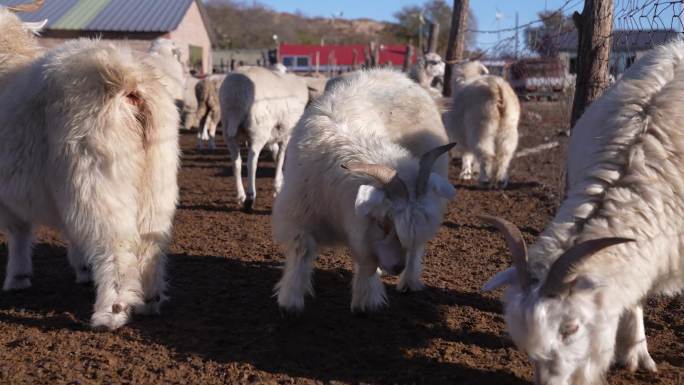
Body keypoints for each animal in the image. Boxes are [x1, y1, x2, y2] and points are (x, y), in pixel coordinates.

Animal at [0, 5, 179, 330]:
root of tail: (128, 77)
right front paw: (83, 269)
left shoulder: (7, 195)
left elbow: (19, 233)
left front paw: (17, 278)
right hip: (156, 180)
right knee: (151, 243)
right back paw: (150, 300)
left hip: (96, 177)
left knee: (114, 244)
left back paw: (112, 312)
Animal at [219, 66, 308, 210]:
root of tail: (237, 94)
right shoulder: (286, 133)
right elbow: (280, 157)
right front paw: (277, 186)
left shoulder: (273, 136)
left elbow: (276, 154)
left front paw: (280, 182)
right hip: (258, 133)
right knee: (252, 162)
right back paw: (250, 197)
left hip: (228, 133)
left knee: (236, 163)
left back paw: (241, 196)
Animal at [272, 67, 454, 310]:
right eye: (382, 223)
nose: (397, 267)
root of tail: (397, 75)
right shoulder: (299, 214)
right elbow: (302, 250)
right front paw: (290, 299)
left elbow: (368, 263)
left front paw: (367, 298)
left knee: (418, 246)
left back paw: (409, 281)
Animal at [440, 59, 520, 189]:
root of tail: (497, 88)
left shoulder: (463, 134)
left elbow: (467, 154)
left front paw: (466, 173)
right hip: (508, 129)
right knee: (504, 155)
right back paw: (501, 180)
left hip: (482, 129)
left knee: (486, 154)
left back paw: (484, 180)